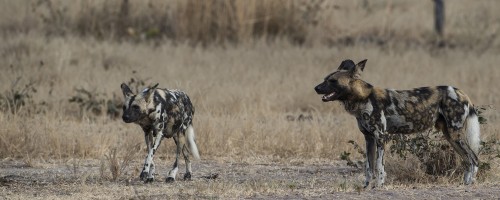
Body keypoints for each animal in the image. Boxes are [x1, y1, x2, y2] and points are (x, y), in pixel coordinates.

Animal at [314, 59, 482, 188]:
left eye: (332, 81)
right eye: (325, 79)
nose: (315, 88)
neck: (364, 99)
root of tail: (461, 92)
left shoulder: (381, 137)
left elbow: (379, 166)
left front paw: (379, 186)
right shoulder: (369, 139)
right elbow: (369, 167)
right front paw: (366, 186)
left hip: (456, 135)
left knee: (474, 158)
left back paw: (470, 184)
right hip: (451, 136)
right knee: (467, 160)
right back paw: (464, 183)